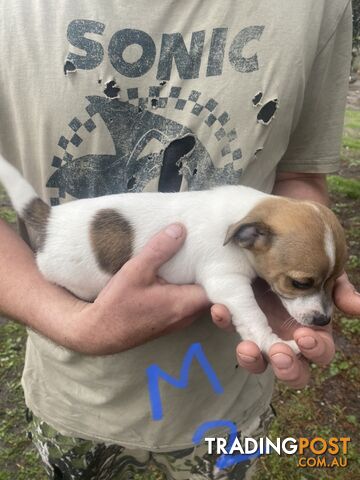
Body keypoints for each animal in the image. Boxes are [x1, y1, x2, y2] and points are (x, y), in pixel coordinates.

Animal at [0, 156, 348, 354]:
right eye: (300, 283)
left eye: (333, 282)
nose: (323, 320)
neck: (242, 215)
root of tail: (50, 219)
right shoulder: (228, 282)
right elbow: (254, 316)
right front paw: (272, 343)